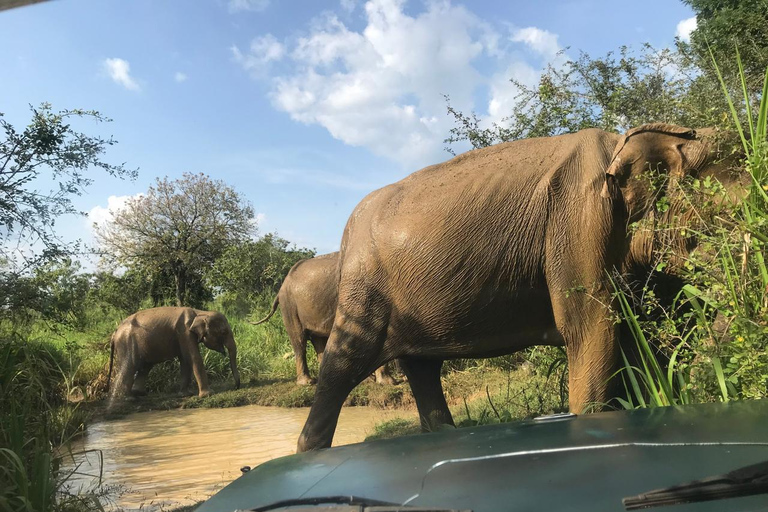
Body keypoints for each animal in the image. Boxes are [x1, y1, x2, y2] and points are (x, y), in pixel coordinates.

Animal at [107, 306, 240, 402]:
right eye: (224, 332)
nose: (236, 387)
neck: (200, 312)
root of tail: (115, 333)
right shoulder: (184, 332)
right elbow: (193, 357)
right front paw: (208, 395)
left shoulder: (183, 336)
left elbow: (185, 360)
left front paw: (186, 394)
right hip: (126, 343)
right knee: (129, 367)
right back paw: (129, 399)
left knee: (145, 366)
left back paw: (140, 394)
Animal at [252, 252, 400, 384]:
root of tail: (283, 285)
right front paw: (389, 382)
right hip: (290, 306)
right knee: (299, 341)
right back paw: (307, 382)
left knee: (318, 340)